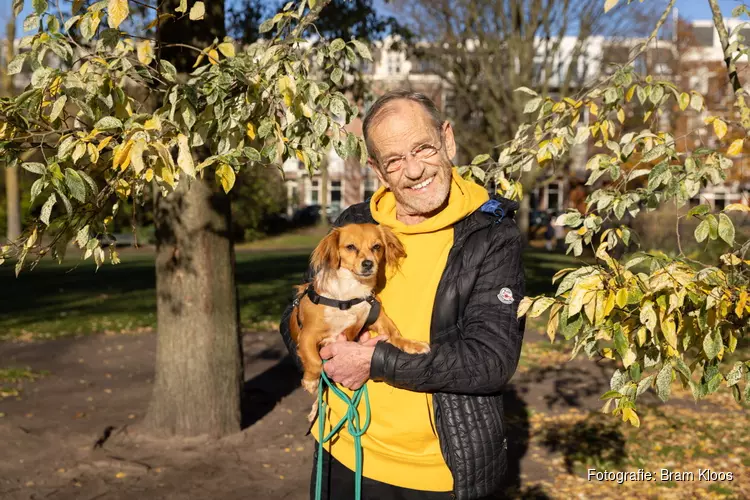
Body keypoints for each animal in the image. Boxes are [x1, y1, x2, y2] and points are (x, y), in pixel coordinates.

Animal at [294, 225, 432, 416]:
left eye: (376, 247)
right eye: (351, 247)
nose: (368, 263)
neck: (348, 297)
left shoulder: (375, 316)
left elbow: (395, 334)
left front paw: (413, 345)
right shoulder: (307, 335)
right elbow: (315, 362)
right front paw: (310, 381)